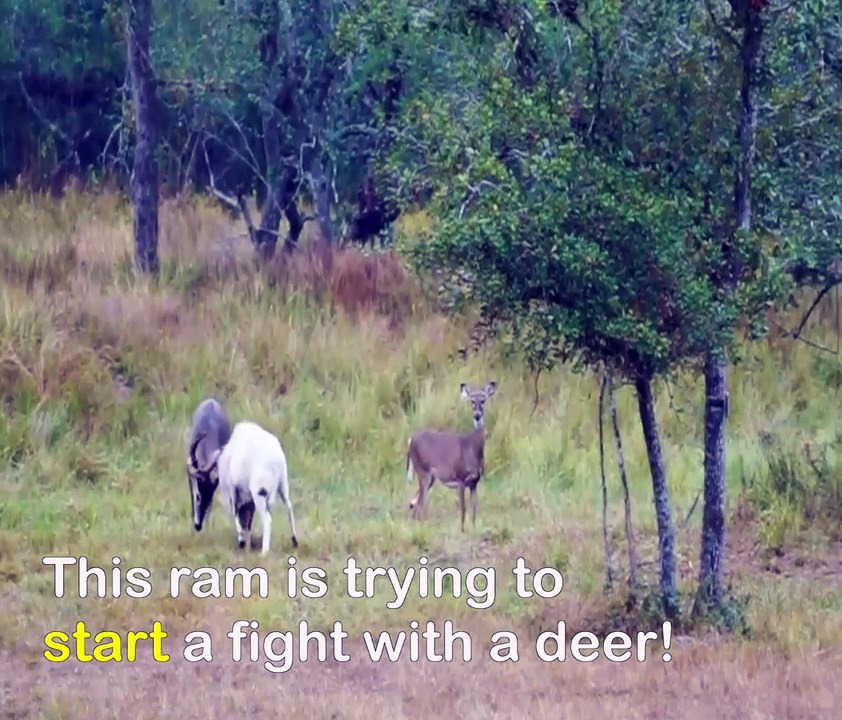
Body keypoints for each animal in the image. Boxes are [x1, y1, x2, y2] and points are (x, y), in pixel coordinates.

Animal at [406, 381, 496, 532]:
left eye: (483, 400)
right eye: (472, 401)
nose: (477, 416)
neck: (471, 448)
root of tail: (411, 440)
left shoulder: (474, 482)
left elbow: (474, 509)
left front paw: (473, 528)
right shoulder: (460, 479)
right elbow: (463, 509)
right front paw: (462, 530)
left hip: (431, 478)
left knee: (415, 502)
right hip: (423, 472)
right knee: (419, 504)